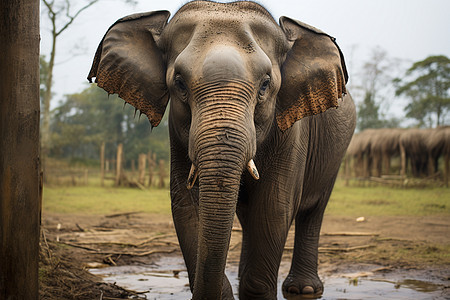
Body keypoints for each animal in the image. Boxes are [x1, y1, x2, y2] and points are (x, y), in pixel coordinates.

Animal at [88, 1, 356, 298]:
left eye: (265, 84)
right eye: (179, 82)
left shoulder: (291, 134)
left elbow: (274, 206)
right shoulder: (178, 135)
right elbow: (186, 206)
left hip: (336, 152)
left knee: (313, 210)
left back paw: (304, 289)